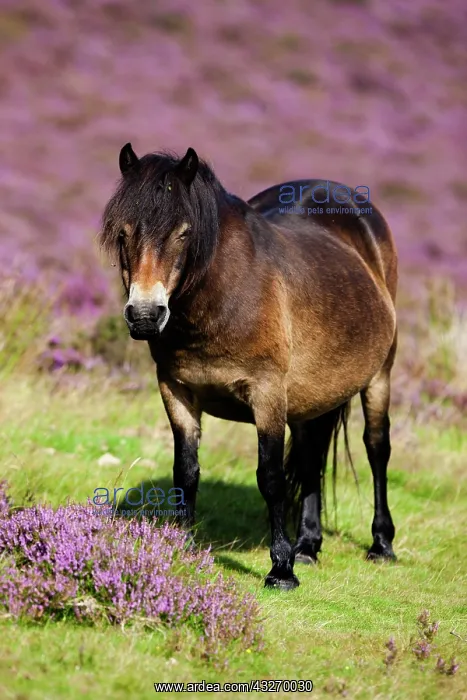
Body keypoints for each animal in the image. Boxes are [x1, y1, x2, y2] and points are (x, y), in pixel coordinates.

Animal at [99, 143, 398, 590]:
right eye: (123, 232)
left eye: (183, 232)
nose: (146, 316)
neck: (222, 297)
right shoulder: (176, 390)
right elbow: (185, 473)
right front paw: (180, 549)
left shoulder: (267, 394)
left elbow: (270, 478)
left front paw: (281, 569)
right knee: (310, 456)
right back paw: (308, 545)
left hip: (379, 375)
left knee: (376, 448)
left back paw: (381, 544)